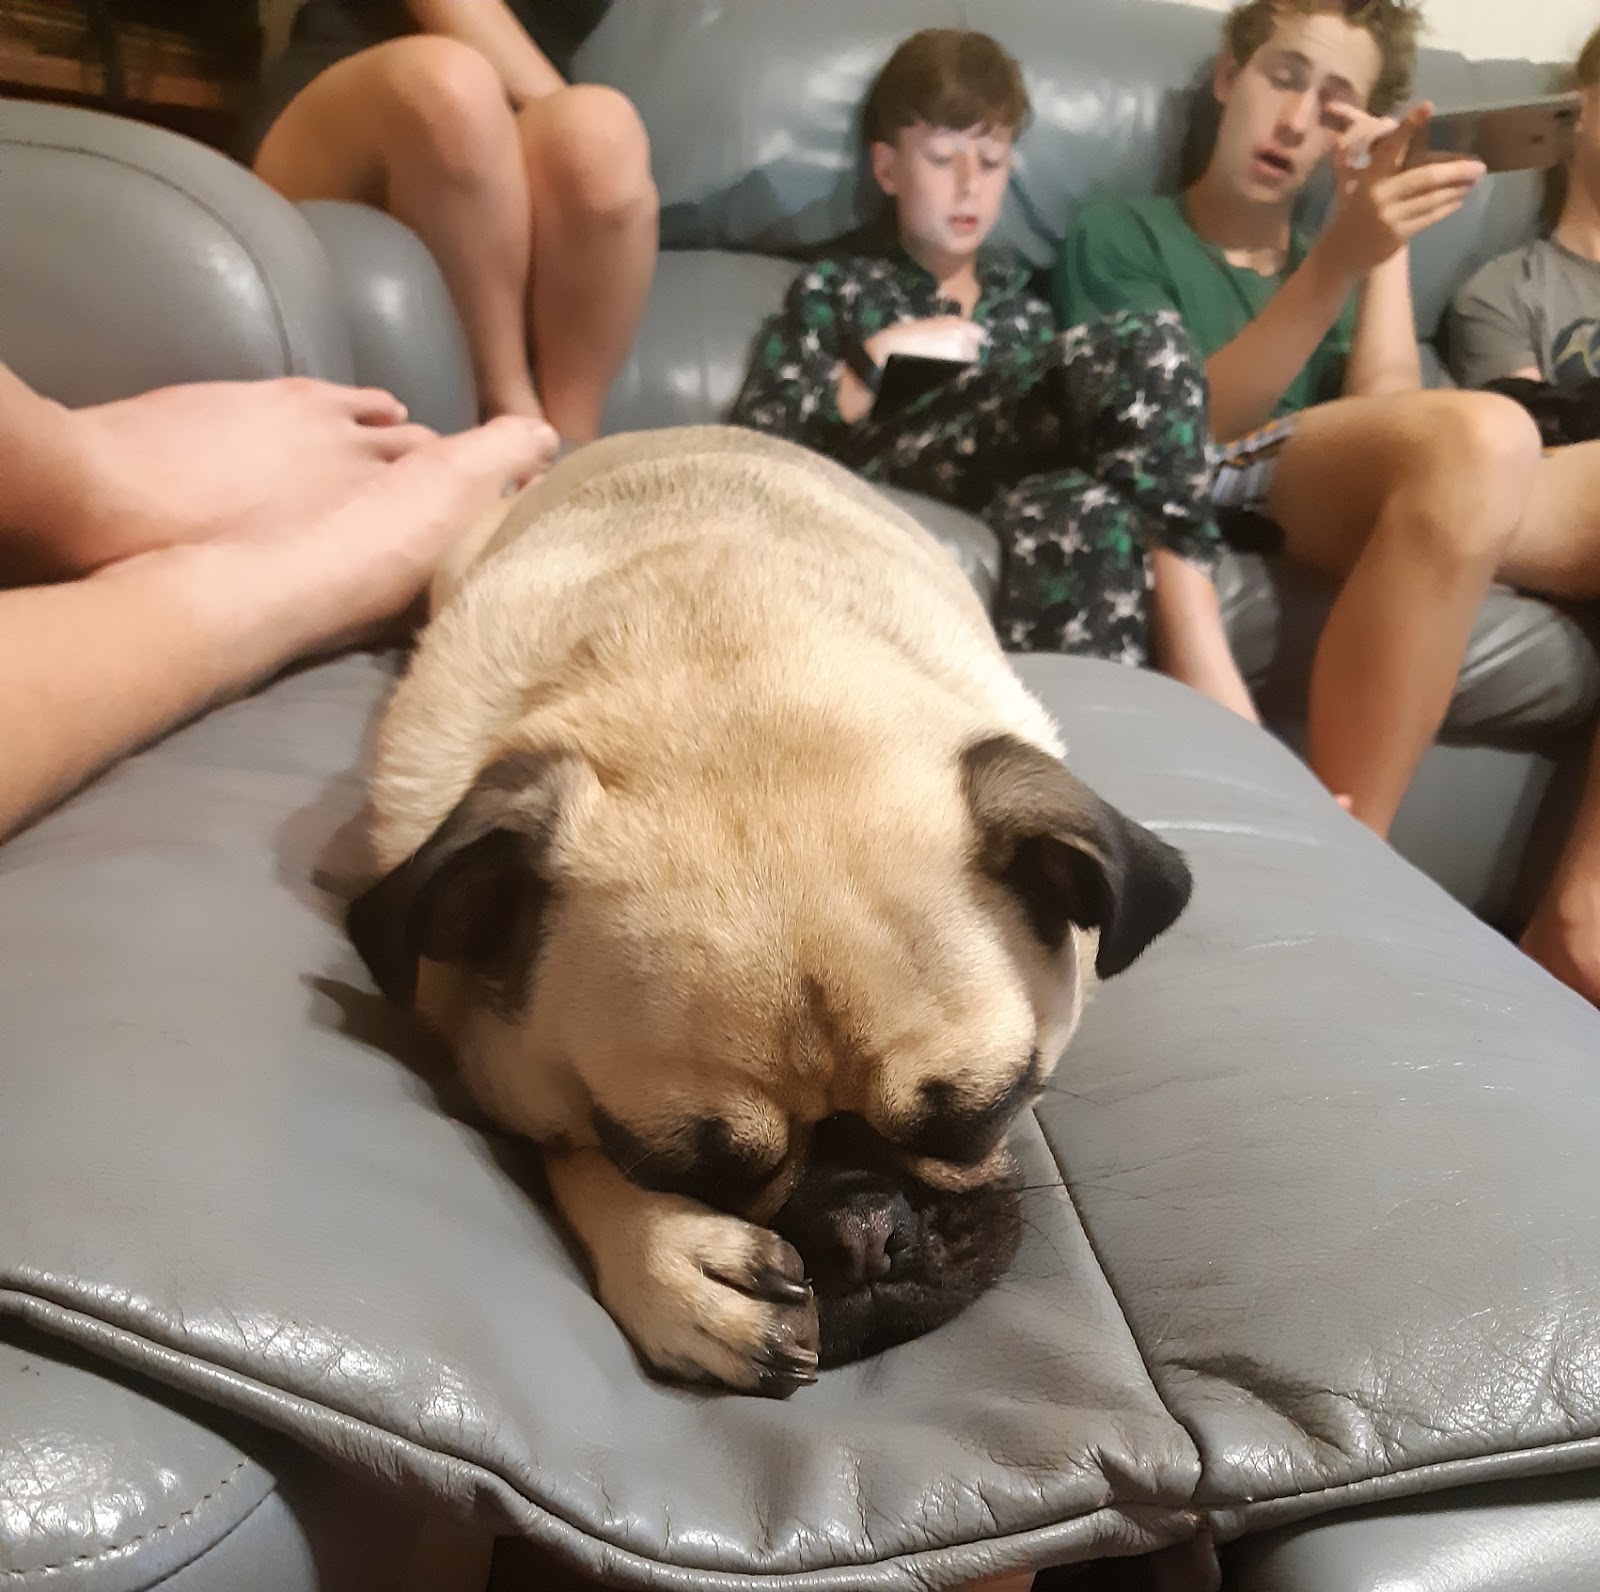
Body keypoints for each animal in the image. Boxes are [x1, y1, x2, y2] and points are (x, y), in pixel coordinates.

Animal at [347, 425, 1192, 1397]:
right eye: (683, 1172)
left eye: (982, 1117)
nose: (862, 1229)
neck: (726, 672)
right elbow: (568, 1150)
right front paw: (671, 1261)